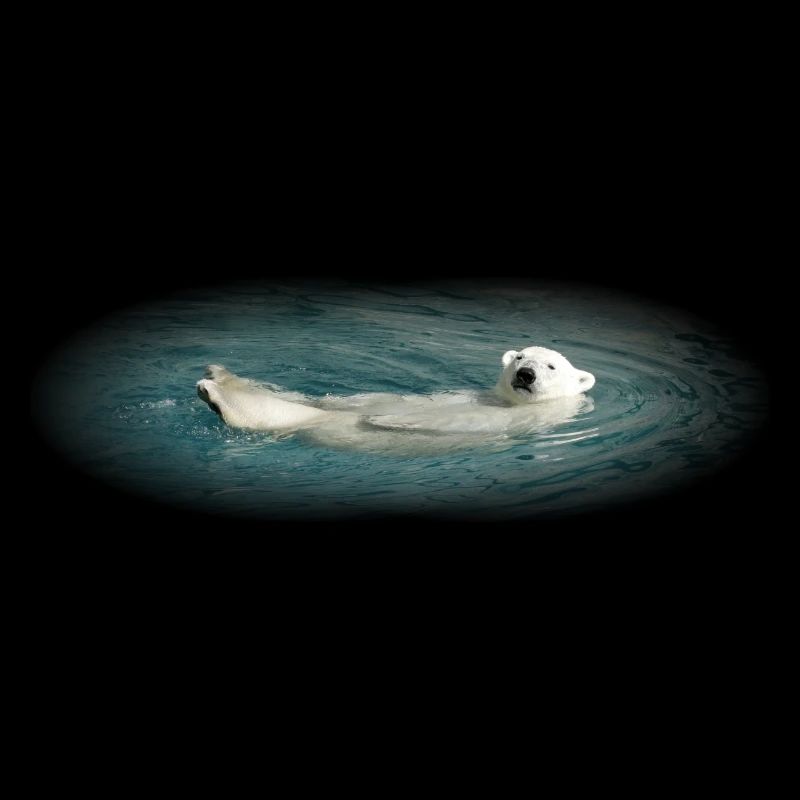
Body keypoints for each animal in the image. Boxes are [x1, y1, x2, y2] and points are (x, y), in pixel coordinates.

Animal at [196, 346, 595, 453]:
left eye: (551, 366)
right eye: (519, 357)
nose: (525, 374)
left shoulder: (524, 419)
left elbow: (461, 421)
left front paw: (387, 420)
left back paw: (217, 394)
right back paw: (218, 376)